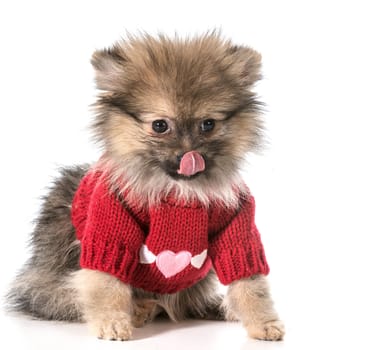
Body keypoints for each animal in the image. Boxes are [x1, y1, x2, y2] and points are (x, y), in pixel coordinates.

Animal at [6, 32, 284, 340]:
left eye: (208, 124)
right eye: (160, 126)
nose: (188, 155)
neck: (178, 190)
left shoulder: (235, 225)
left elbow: (248, 280)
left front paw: (263, 322)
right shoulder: (109, 227)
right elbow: (105, 282)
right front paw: (112, 321)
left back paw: (213, 307)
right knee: (65, 294)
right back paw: (140, 309)